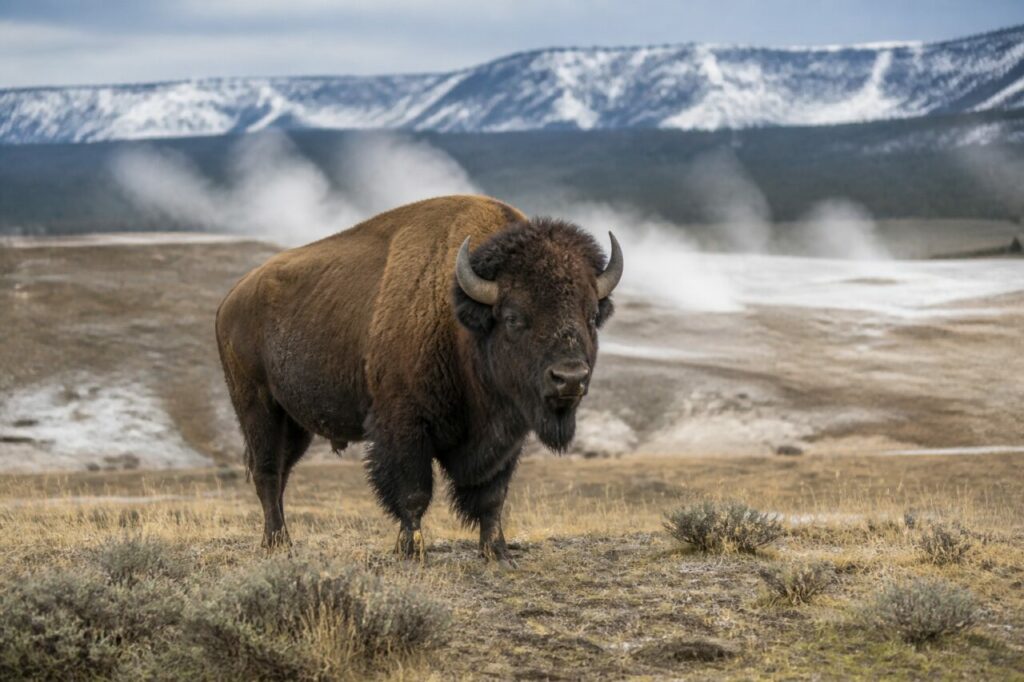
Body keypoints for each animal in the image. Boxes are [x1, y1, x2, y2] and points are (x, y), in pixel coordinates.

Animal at [215, 195, 622, 562]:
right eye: (513, 317)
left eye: (590, 316)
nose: (570, 378)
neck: (458, 316)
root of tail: (231, 300)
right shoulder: (404, 427)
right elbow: (413, 493)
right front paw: (410, 551)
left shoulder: (506, 436)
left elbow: (493, 496)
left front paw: (497, 552)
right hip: (257, 406)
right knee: (267, 472)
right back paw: (278, 544)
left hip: (296, 422)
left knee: (282, 472)